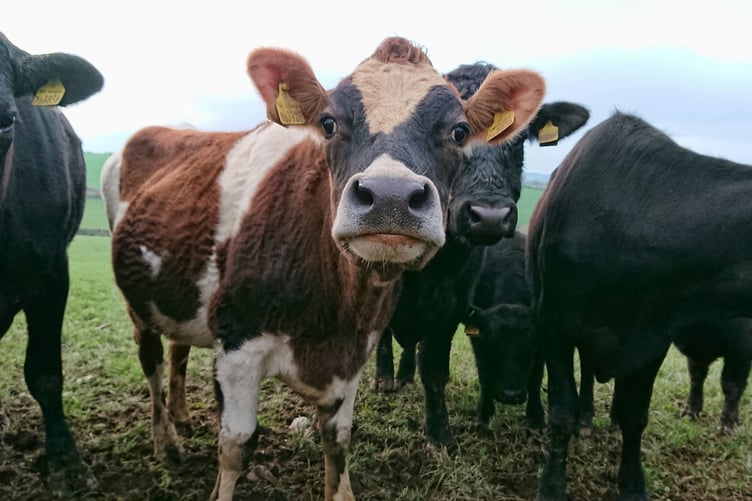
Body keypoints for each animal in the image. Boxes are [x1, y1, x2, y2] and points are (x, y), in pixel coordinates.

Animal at [102, 37, 546, 500]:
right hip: (138, 305)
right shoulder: (238, 345)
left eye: (458, 131)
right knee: (151, 363)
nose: (391, 197)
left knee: (178, 349)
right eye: (329, 123)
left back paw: (182, 416)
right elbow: (237, 445)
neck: (332, 310)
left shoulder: (353, 352)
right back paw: (166, 442)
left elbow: (337, 440)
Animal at [372, 60, 588, 448]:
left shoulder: (451, 307)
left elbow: (434, 369)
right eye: (451, 131)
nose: (489, 215)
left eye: (519, 139)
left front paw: (439, 433)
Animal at [527, 111, 752, 500]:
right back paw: (587, 419)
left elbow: (636, 417)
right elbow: (561, 411)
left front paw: (632, 484)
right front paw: (552, 485)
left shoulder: (652, 339)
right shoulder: (554, 324)